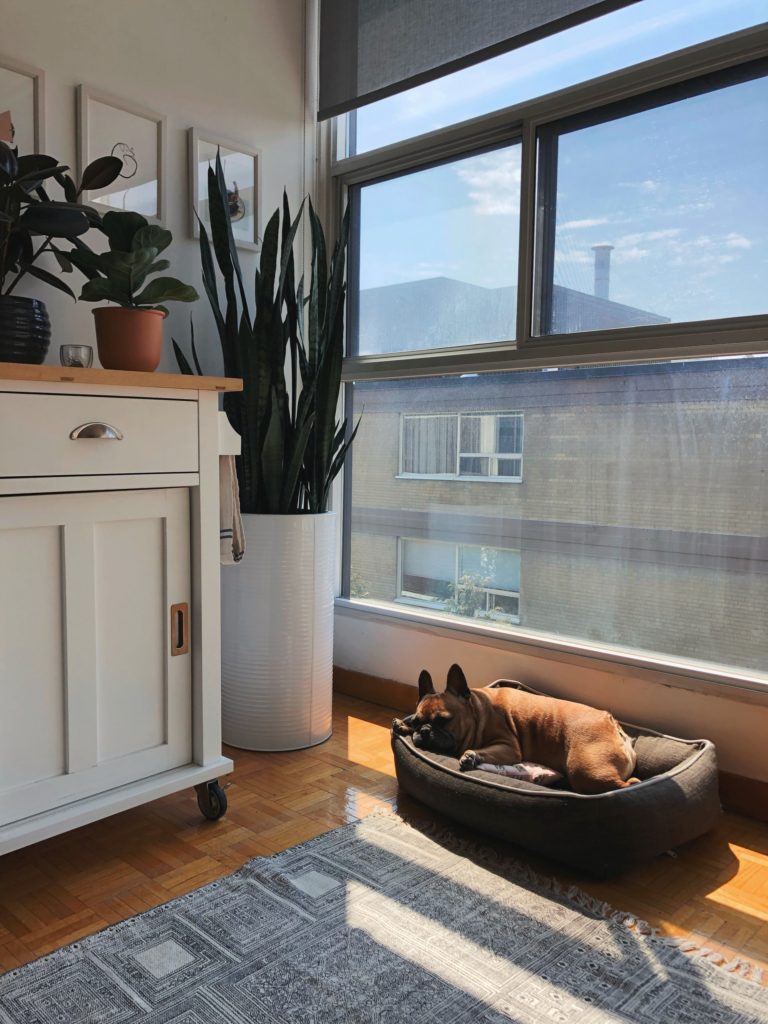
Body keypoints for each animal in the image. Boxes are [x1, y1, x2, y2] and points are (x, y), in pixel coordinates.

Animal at [393, 667, 638, 794]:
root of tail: (613, 725)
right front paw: (403, 725)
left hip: (584, 770)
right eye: (418, 720)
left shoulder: (508, 748)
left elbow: (479, 750)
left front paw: (470, 756)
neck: (477, 712)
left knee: (624, 784)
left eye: (443, 721)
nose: (424, 730)